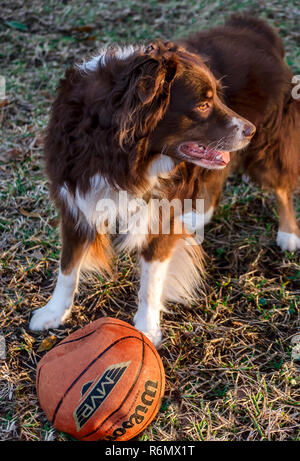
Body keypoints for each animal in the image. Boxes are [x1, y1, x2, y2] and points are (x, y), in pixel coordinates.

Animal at [29, 15, 300, 344]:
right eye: (202, 104)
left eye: (218, 97)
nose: (250, 130)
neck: (121, 155)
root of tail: (255, 28)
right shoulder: (75, 198)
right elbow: (67, 267)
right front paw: (53, 313)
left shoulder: (160, 209)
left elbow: (151, 278)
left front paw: (146, 329)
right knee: (217, 176)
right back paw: (198, 216)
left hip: (270, 144)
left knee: (281, 186)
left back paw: (288, 233)